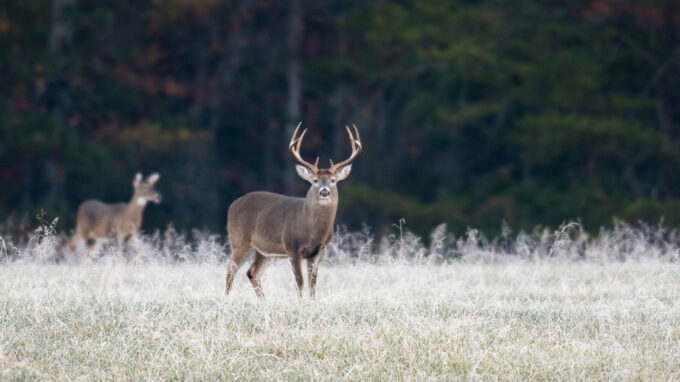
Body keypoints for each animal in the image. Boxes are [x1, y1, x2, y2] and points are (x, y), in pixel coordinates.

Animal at [226, 124, 362, 296]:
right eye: (315, 180)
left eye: (333, 180)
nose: (324, 191)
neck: (311, 229)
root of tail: (231, 205)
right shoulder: (292, 246)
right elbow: (300, 282)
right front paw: (300, 301)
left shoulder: (318, 251)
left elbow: (313, 284)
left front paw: (312, 301)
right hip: (239, 240)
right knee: (231, 269)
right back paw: (227, 298)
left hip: (264, 251)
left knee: (252, 272)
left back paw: (264, 301)